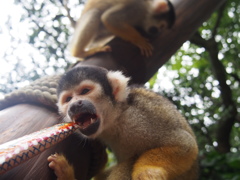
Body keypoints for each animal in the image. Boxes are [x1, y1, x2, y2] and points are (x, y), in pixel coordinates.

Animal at [47, 66, 199, 180]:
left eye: (85, 91)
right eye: (68, 99)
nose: (74, 106)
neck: (116, 119)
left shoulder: (141, 118)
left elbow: (185, 145)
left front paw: (147, 173)